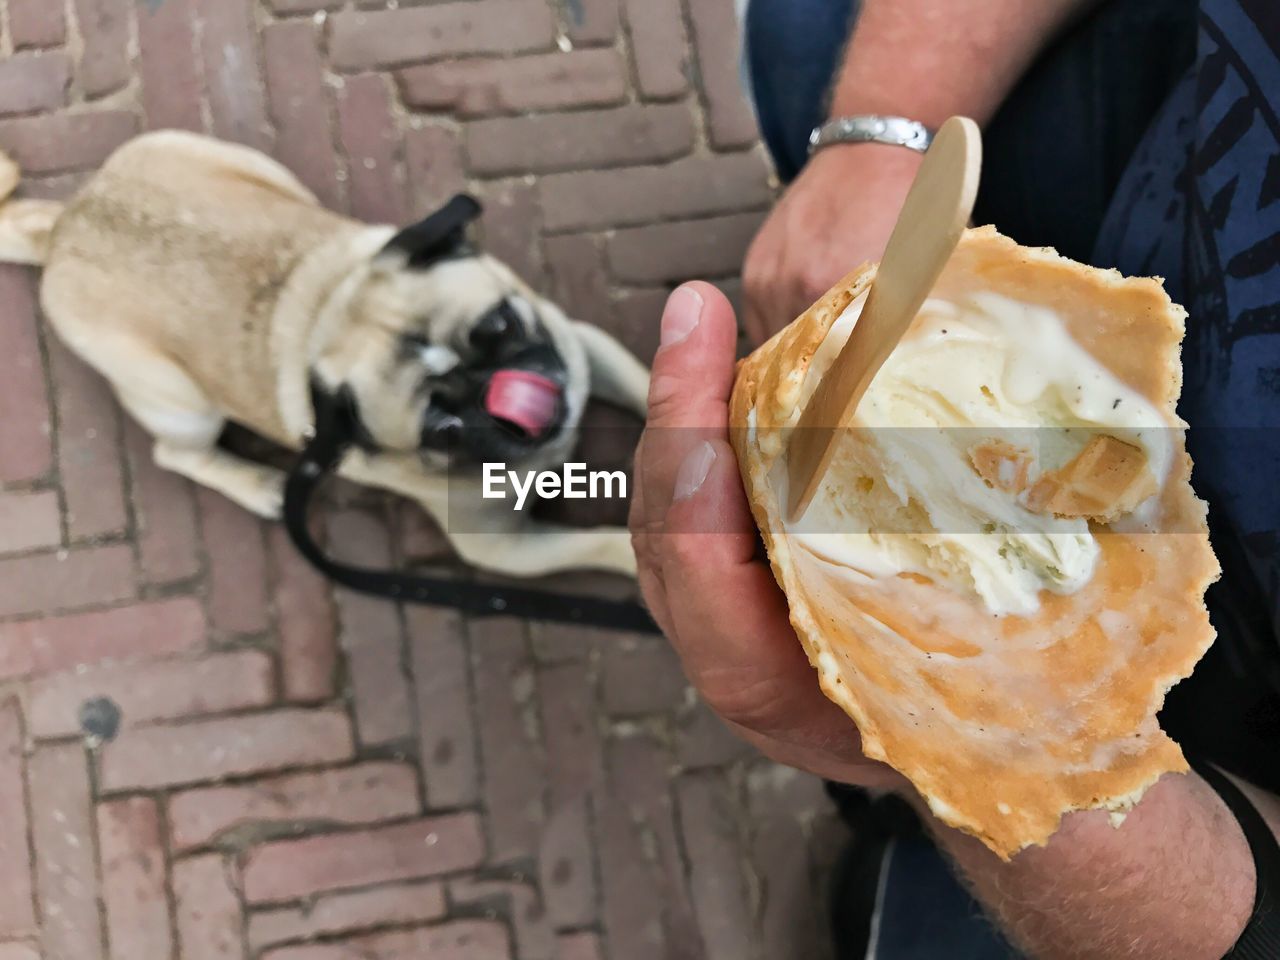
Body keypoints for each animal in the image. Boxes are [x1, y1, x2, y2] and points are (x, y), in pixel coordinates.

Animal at [2, 130, 650, 576]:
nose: (499, 395)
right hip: (182, 404)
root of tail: (62, 228)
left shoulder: (582, 348)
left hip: (260, 170)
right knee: (175, 454)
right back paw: (255, 483)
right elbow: (608, 540)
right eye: (442, 429)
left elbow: (645, 383)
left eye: (498, 325)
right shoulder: (501, 546)